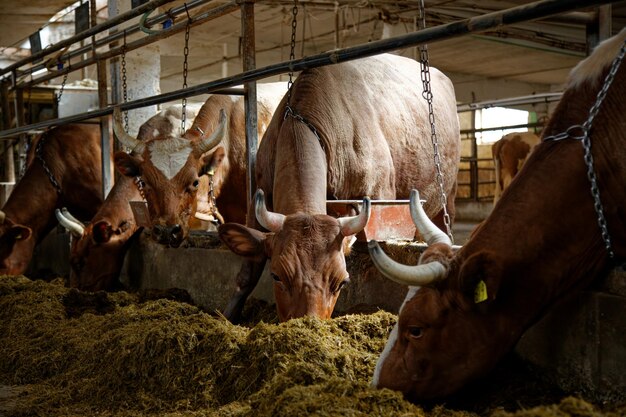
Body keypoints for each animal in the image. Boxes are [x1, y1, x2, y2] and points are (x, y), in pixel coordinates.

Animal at [218, 53, 458, 322]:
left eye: (342, 282)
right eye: (277, 276)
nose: (310, 324)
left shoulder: (380, 194)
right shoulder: (257, 198)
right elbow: (247, 273)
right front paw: (228, 315)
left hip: (447, 197)